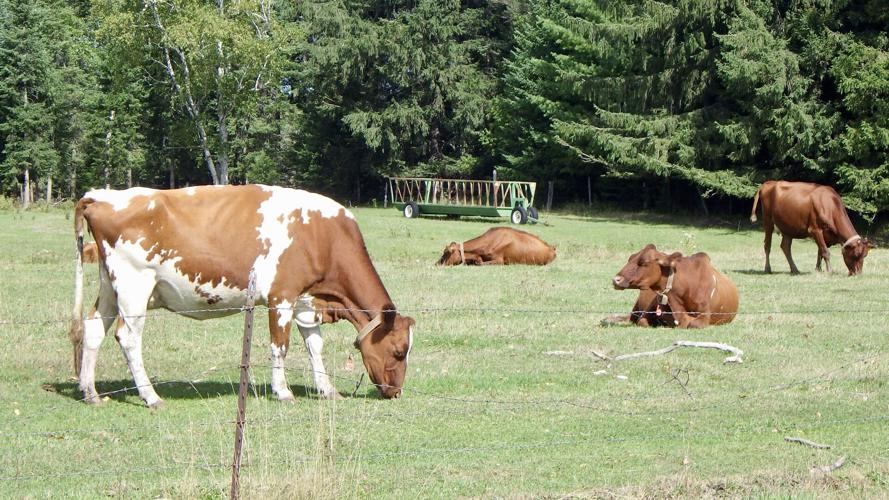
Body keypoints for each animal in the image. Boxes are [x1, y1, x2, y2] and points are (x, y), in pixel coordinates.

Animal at [68, 185, 415, 408]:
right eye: (399, 351)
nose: (396, 392)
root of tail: (99, 195)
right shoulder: (281, 296)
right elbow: (280, 347)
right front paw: (283, 392)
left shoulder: (306, 300)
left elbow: (315, 346)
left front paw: (327, 390)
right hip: (134, 286)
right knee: (128, 338)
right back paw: (151, 397)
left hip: (109, 286)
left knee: (94, 330)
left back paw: (91, 393)